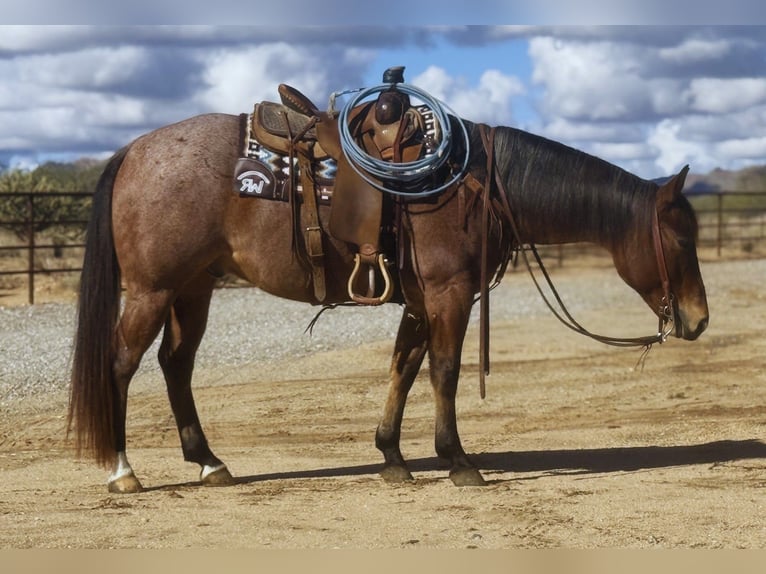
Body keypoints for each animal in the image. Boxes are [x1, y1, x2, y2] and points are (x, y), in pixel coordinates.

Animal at [67, 109, 709, 493]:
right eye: (682, 239)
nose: (699, 320)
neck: (476, 185)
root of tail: (135, 150)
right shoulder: (450, 294)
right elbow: (444, 372)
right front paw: (458, 461)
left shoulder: (422, 302)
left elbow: (403, 368)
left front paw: (393, 458)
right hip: (152, 290)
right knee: (120, 365)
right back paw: (123, 471)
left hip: (192, 288)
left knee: (175, 365)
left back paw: (209, 462)